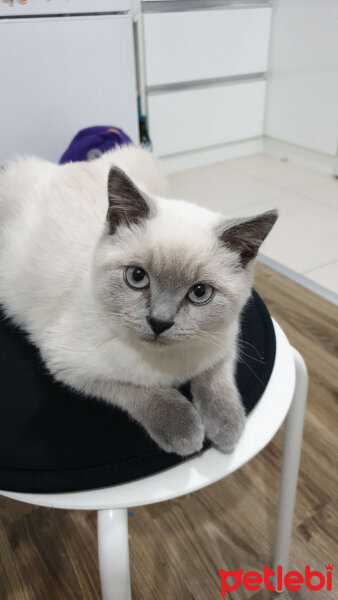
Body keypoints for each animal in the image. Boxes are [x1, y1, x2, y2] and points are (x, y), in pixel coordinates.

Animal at [0, 148, 278, 458]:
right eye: (137, 277)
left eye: (199, 293)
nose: (159, 322)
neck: (169, 365)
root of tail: (71, 164)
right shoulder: (69, 364)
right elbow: (140, 391)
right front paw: (185, 430)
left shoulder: (224, 340)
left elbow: (215, 378)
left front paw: (227, 426)